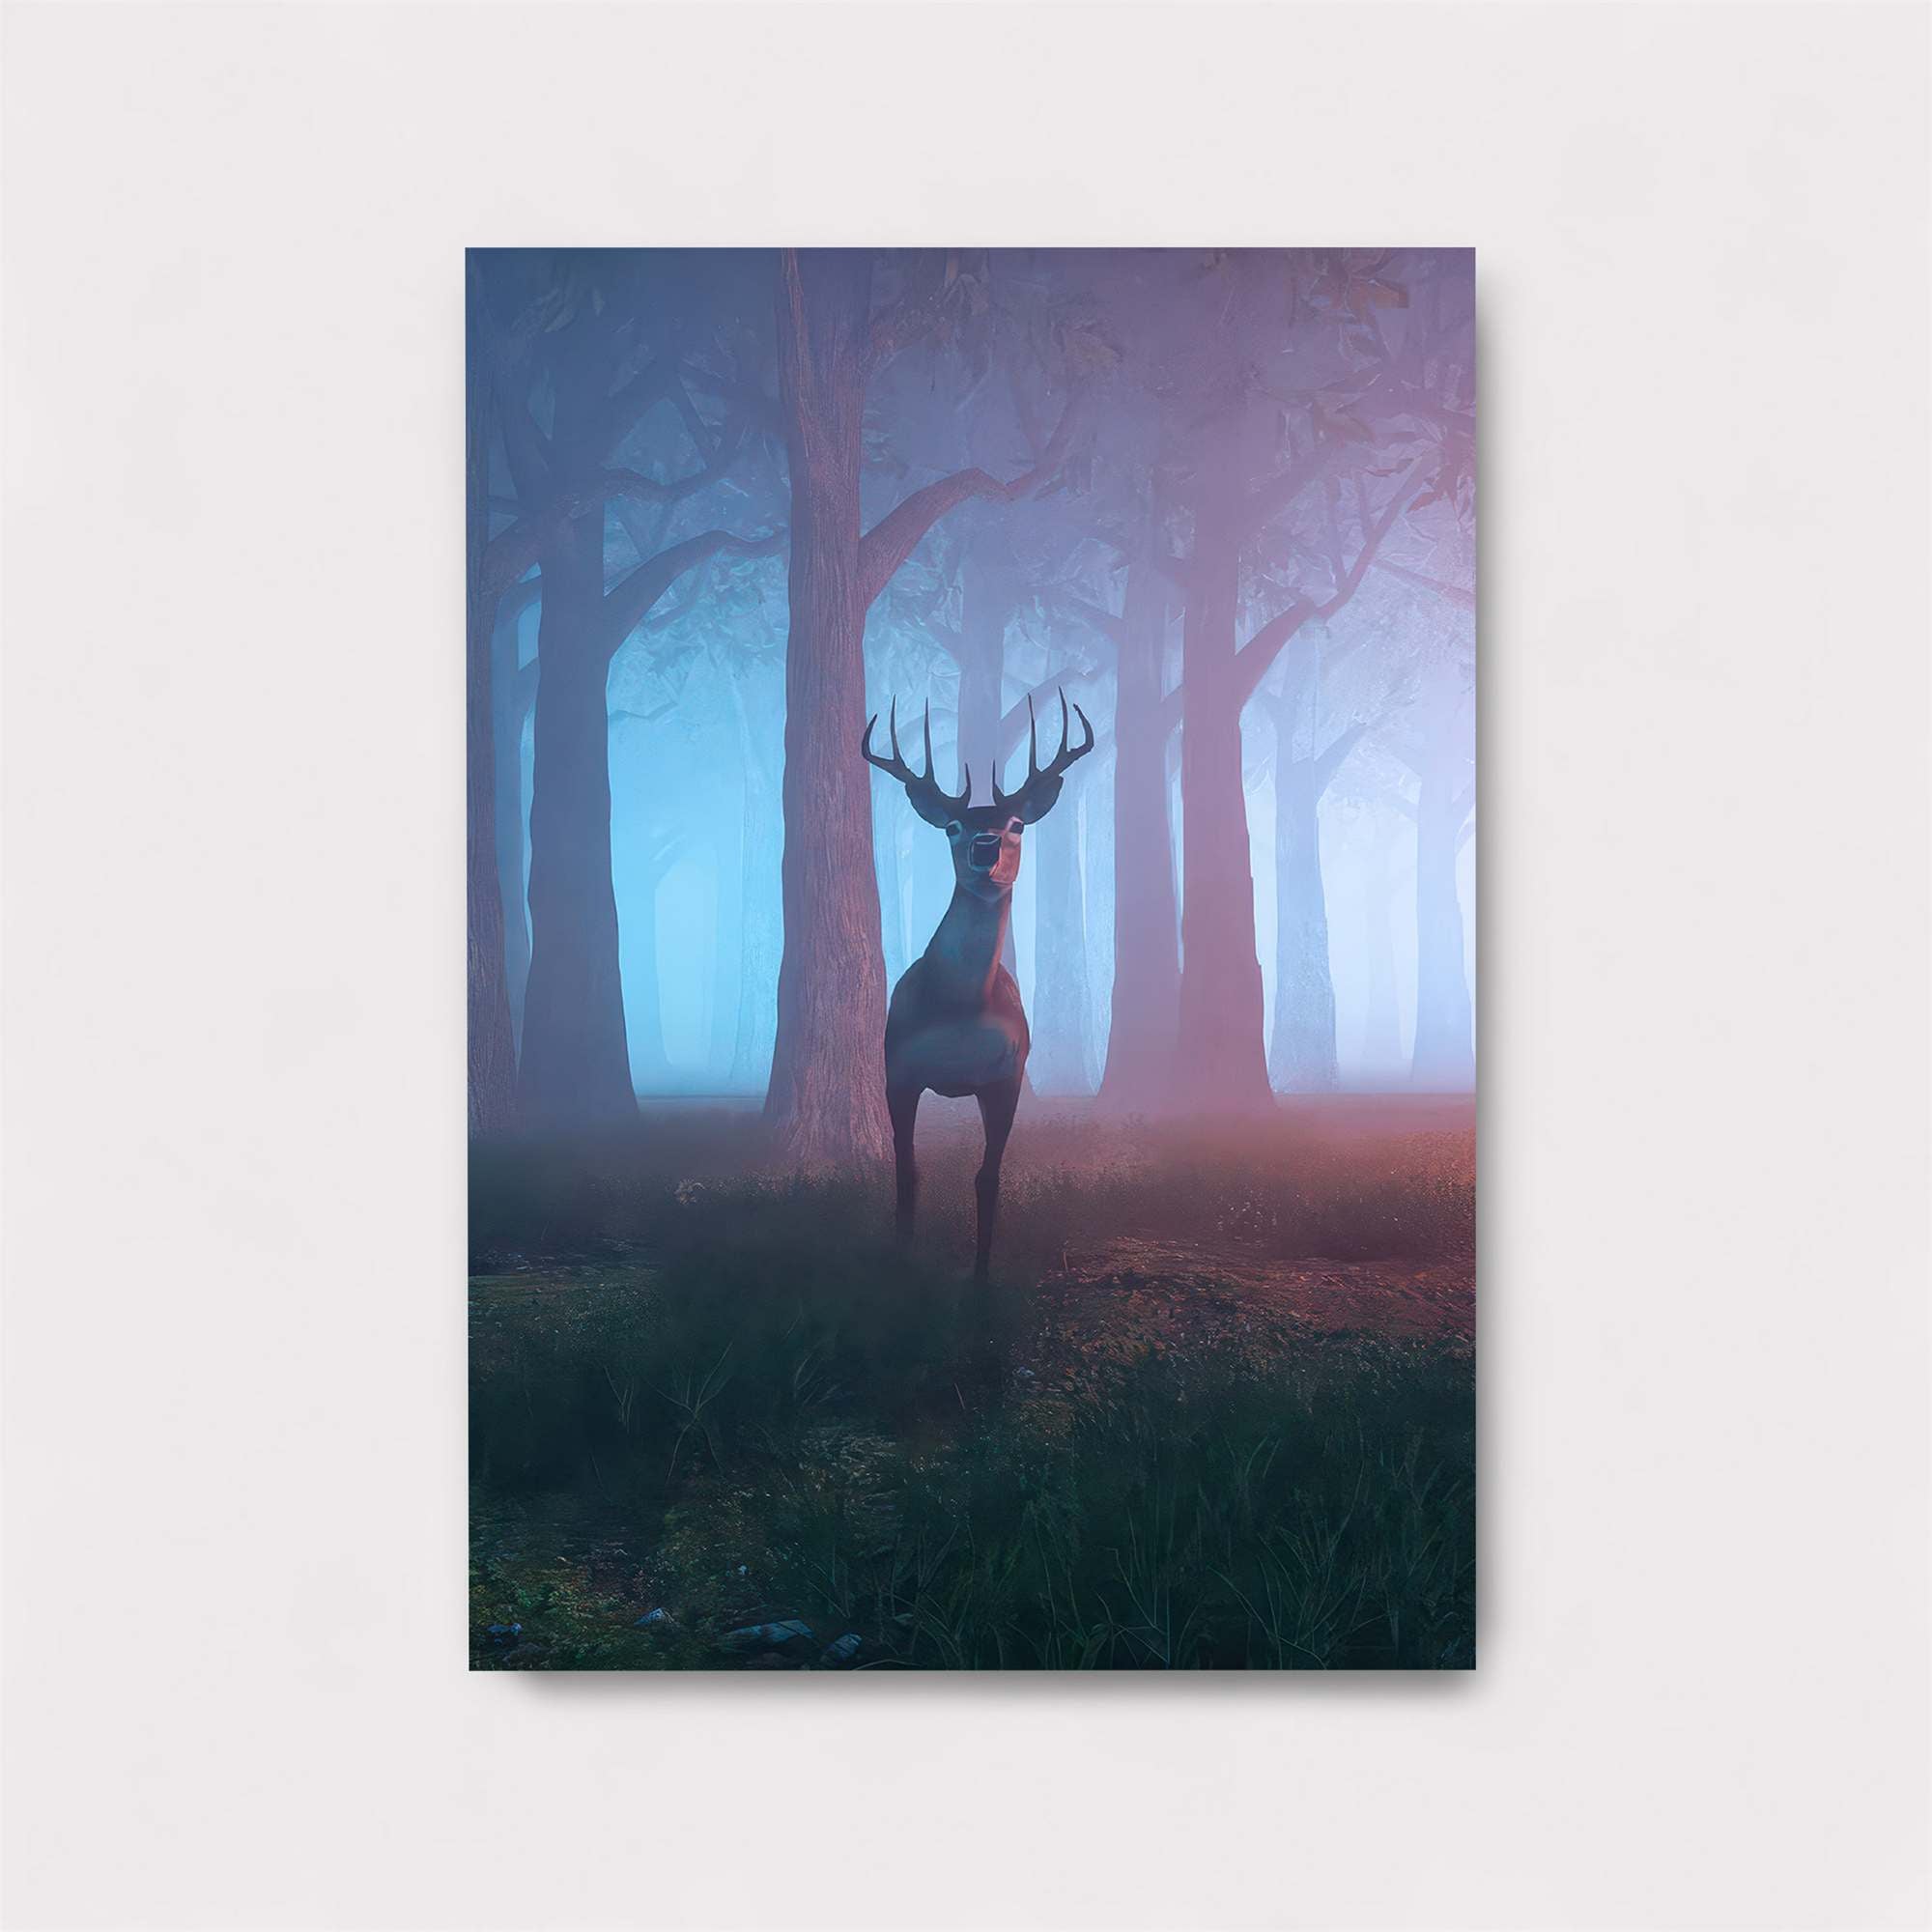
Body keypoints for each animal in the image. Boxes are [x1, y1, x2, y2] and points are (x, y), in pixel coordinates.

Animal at [862, 689, 1095, 1281]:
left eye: (1018, 825)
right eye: (951, 826)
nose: (985, 847)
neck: (960, 1013)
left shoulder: (1006, 1076)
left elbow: (987, 1178)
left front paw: (982, 1276)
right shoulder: (898, 1070)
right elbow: (907, 1173)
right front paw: (900, 1258)